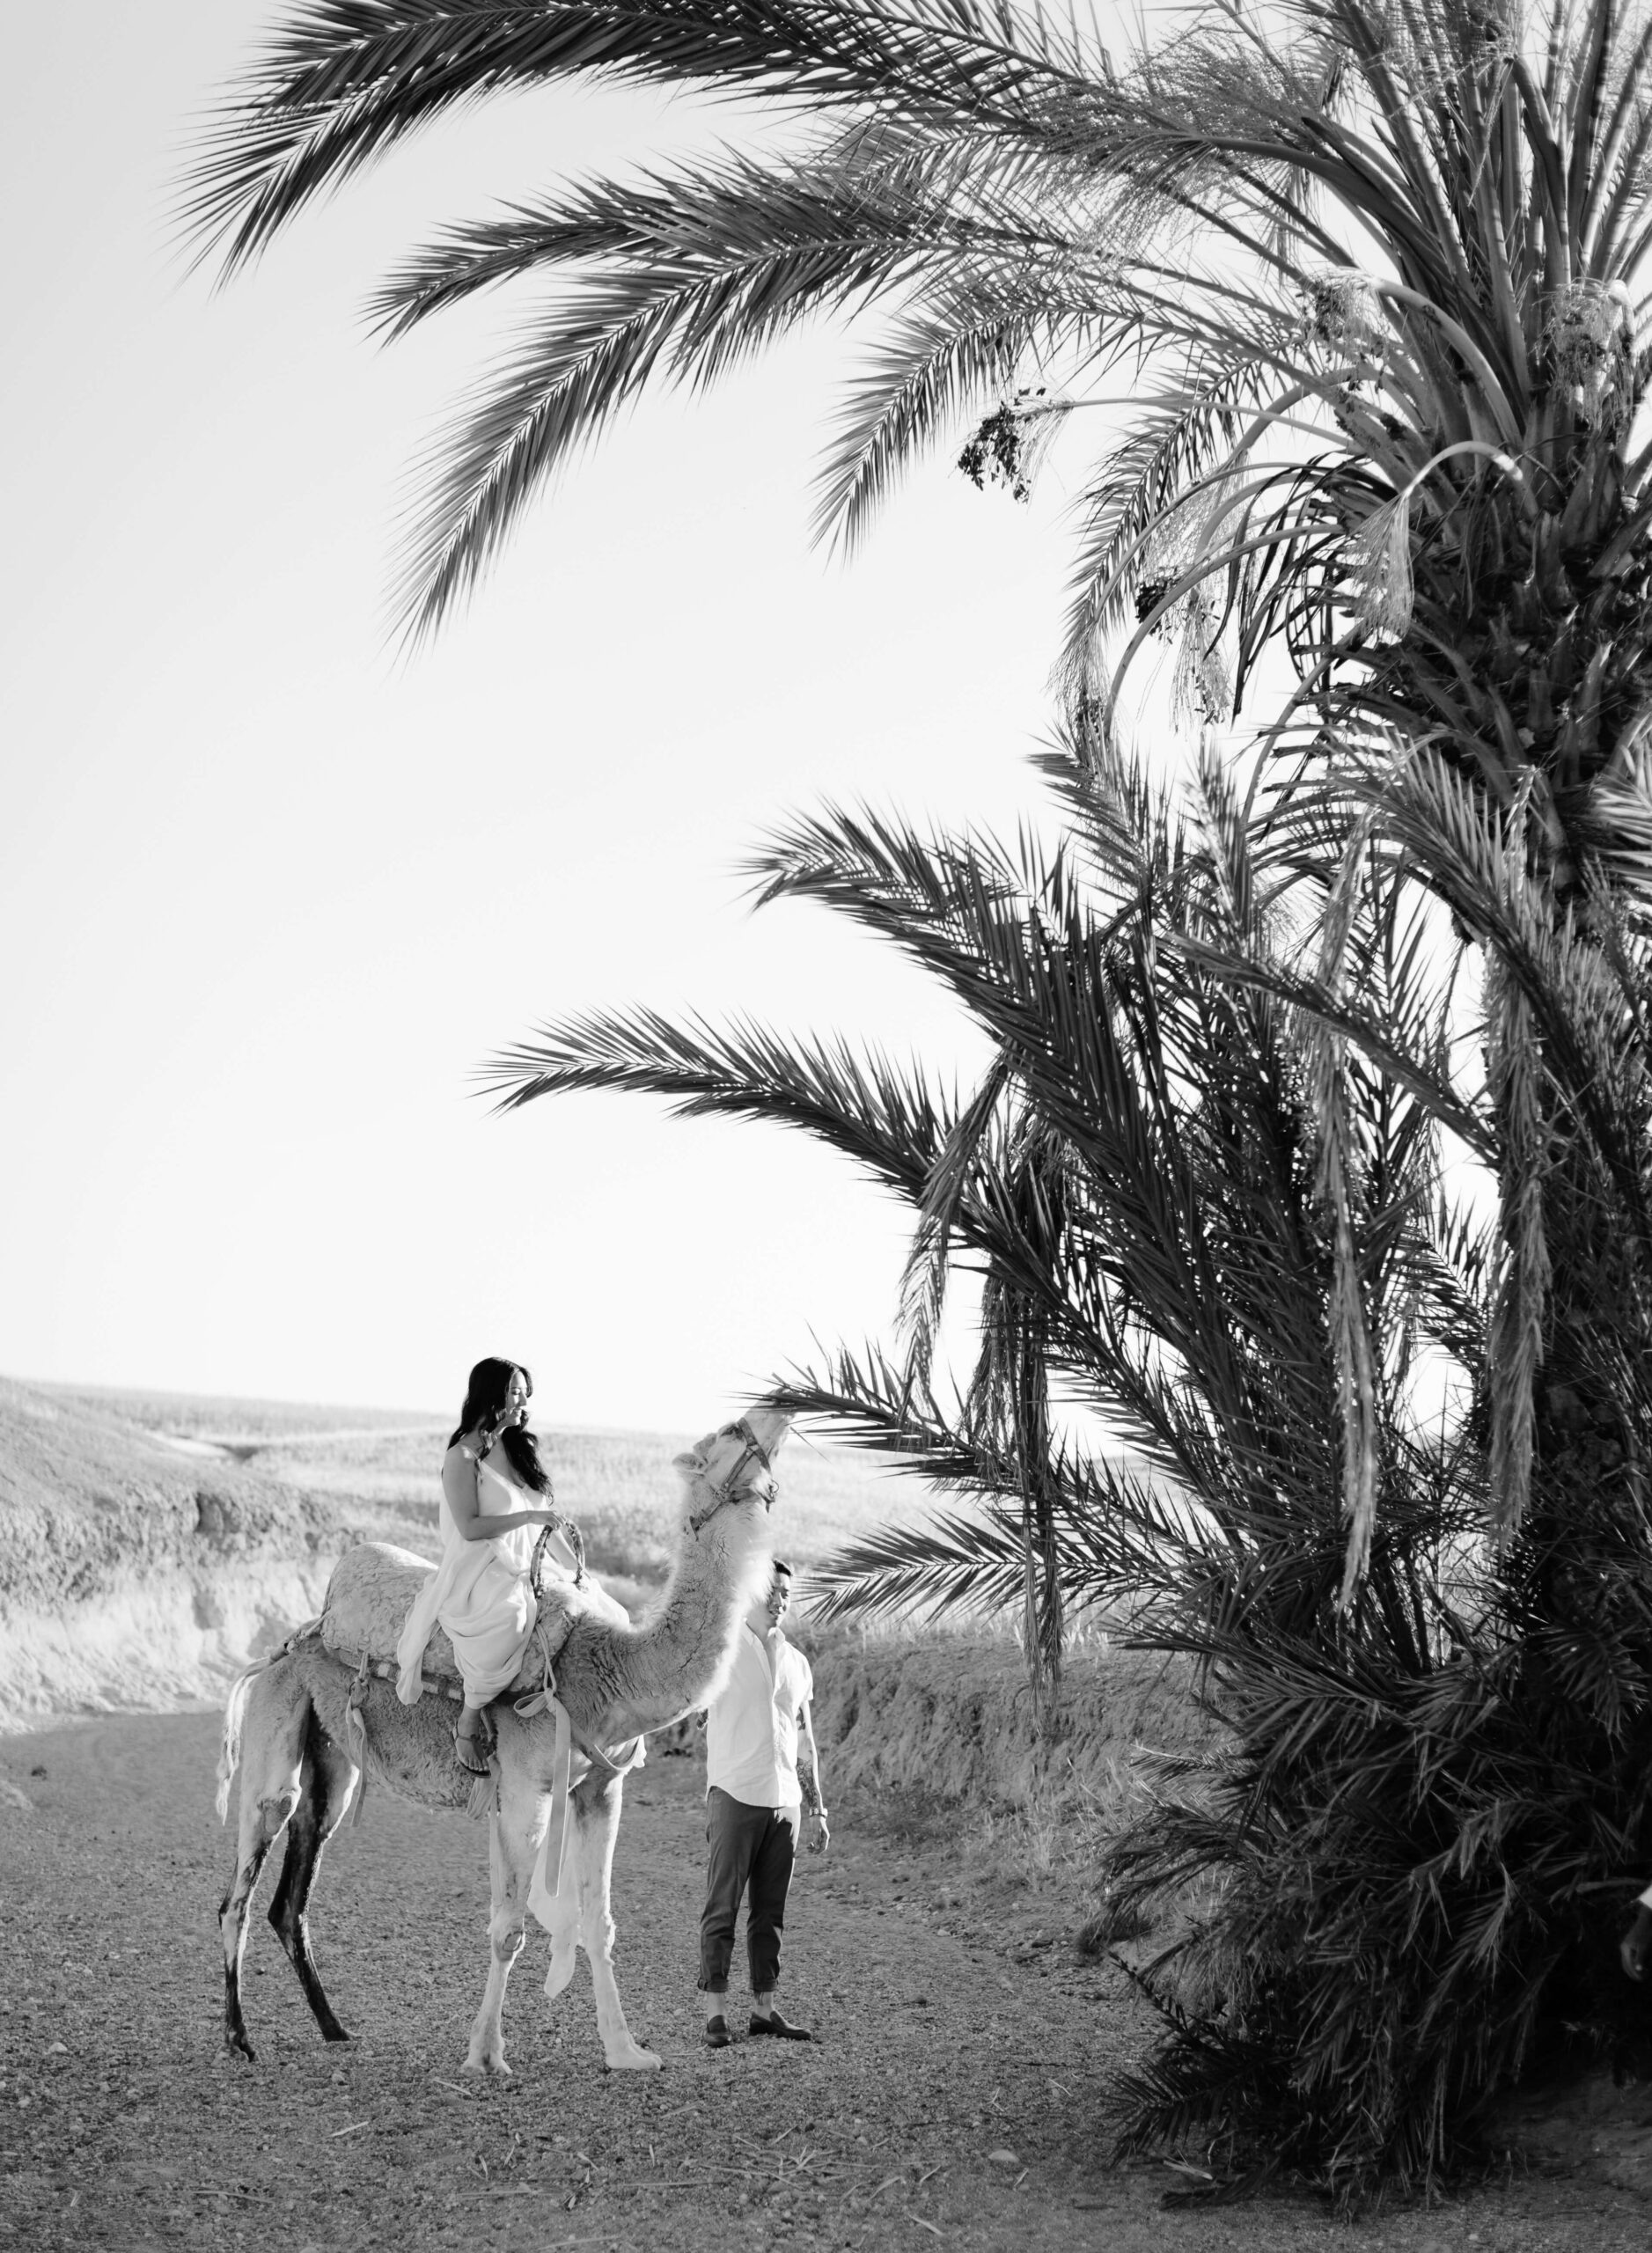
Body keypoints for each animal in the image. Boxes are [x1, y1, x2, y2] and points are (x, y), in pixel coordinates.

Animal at [216, 1405, 789, 2073]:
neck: (610, 1669)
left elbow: (598, 1922)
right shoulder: (522, 1786)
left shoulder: (600, 1788)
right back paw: (239, 2037)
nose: (776, 1411)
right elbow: (509, 1927)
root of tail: (295, 1637)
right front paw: (486, 2054)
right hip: (277, 1719)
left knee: (295, 1888)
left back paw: (334, 2028)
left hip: (331, 1758)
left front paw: (627, 2051)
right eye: (726, 1433)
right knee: (244, 1879)